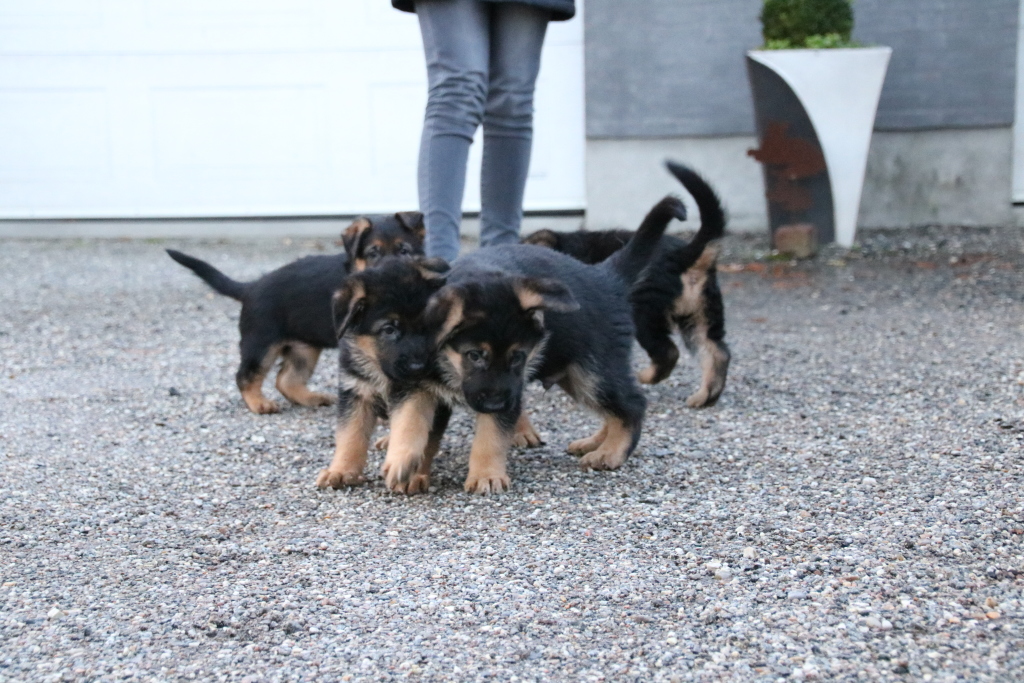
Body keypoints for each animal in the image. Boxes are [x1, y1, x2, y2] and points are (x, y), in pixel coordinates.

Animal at [166, 212, 425, 414]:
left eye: (404, 250)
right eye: (373, 253)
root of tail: (252, 286)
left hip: (304, 349)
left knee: (286, 380)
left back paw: (311, 398)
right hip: (261, 345)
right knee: (245, 375)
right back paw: (258, 403)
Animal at [316, 256, 451, 493]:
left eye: (427, 327)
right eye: (389, 329)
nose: (419, 367)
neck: (382, 371)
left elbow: (424, 436)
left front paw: (414, 474)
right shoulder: (356, 391)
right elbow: (350, 435)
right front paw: (341, 470)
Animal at [523, 167, 729, 407]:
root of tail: (682, 255)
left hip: (645, 315)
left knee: (669, 352)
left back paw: (645, 377)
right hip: (700, 314)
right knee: (716, 351)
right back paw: (704, 397)